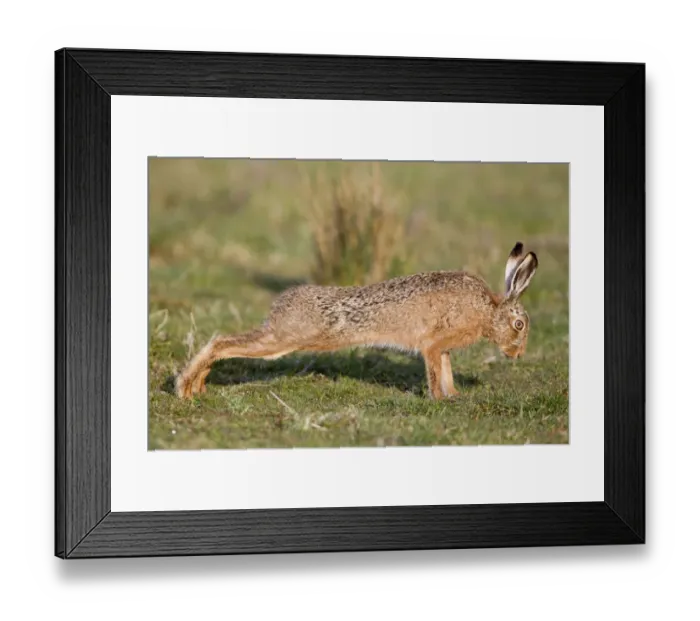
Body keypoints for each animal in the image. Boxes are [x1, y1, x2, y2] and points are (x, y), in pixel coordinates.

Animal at [175, 242, 538, 401]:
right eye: (519, 326)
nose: (518, 354)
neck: (488, 311)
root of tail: (283, 302)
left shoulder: (442, 348)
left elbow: (446, 371)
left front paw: (454, 396)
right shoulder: (434, 345)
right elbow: (436, 372)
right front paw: (440, 400)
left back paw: (198, 385)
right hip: (282, 339)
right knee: (221, 342)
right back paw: (186, 387)